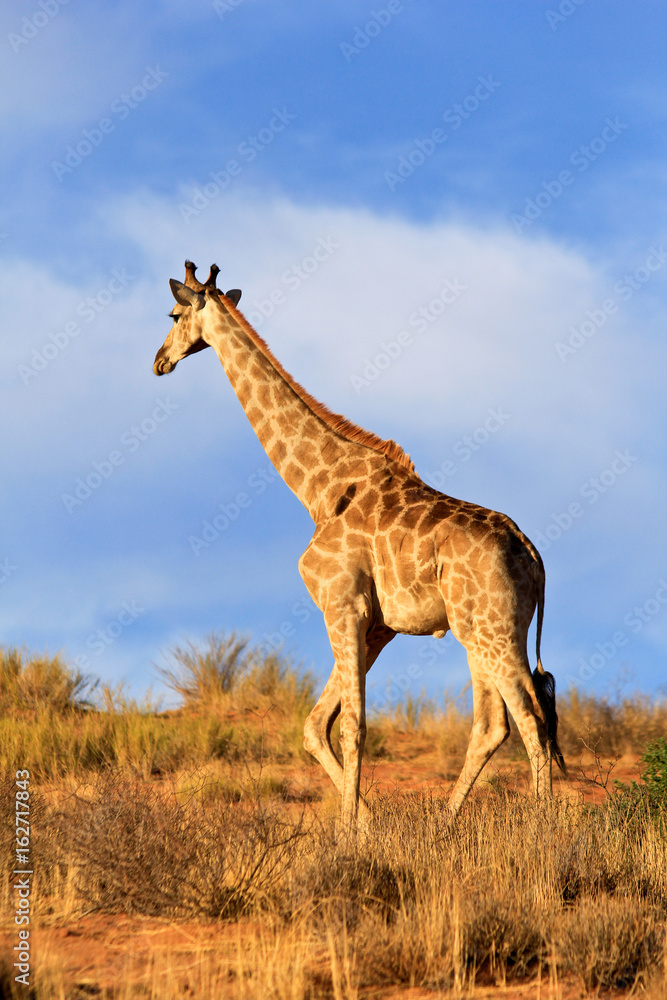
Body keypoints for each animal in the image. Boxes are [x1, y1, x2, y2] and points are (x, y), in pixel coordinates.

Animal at [153, 261, 566, 831]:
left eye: (173, 314)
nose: (158, 361)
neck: (317, 487)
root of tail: (532, 554)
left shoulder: (341, 604)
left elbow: (352, 726)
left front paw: (349, 833)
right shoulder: (377, 626)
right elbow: (315, 725)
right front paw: (367, 824)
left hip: (493, 631)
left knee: (530, 715)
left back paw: (543, 829)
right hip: (481, 630)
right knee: (496, 723)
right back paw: (445, 826)